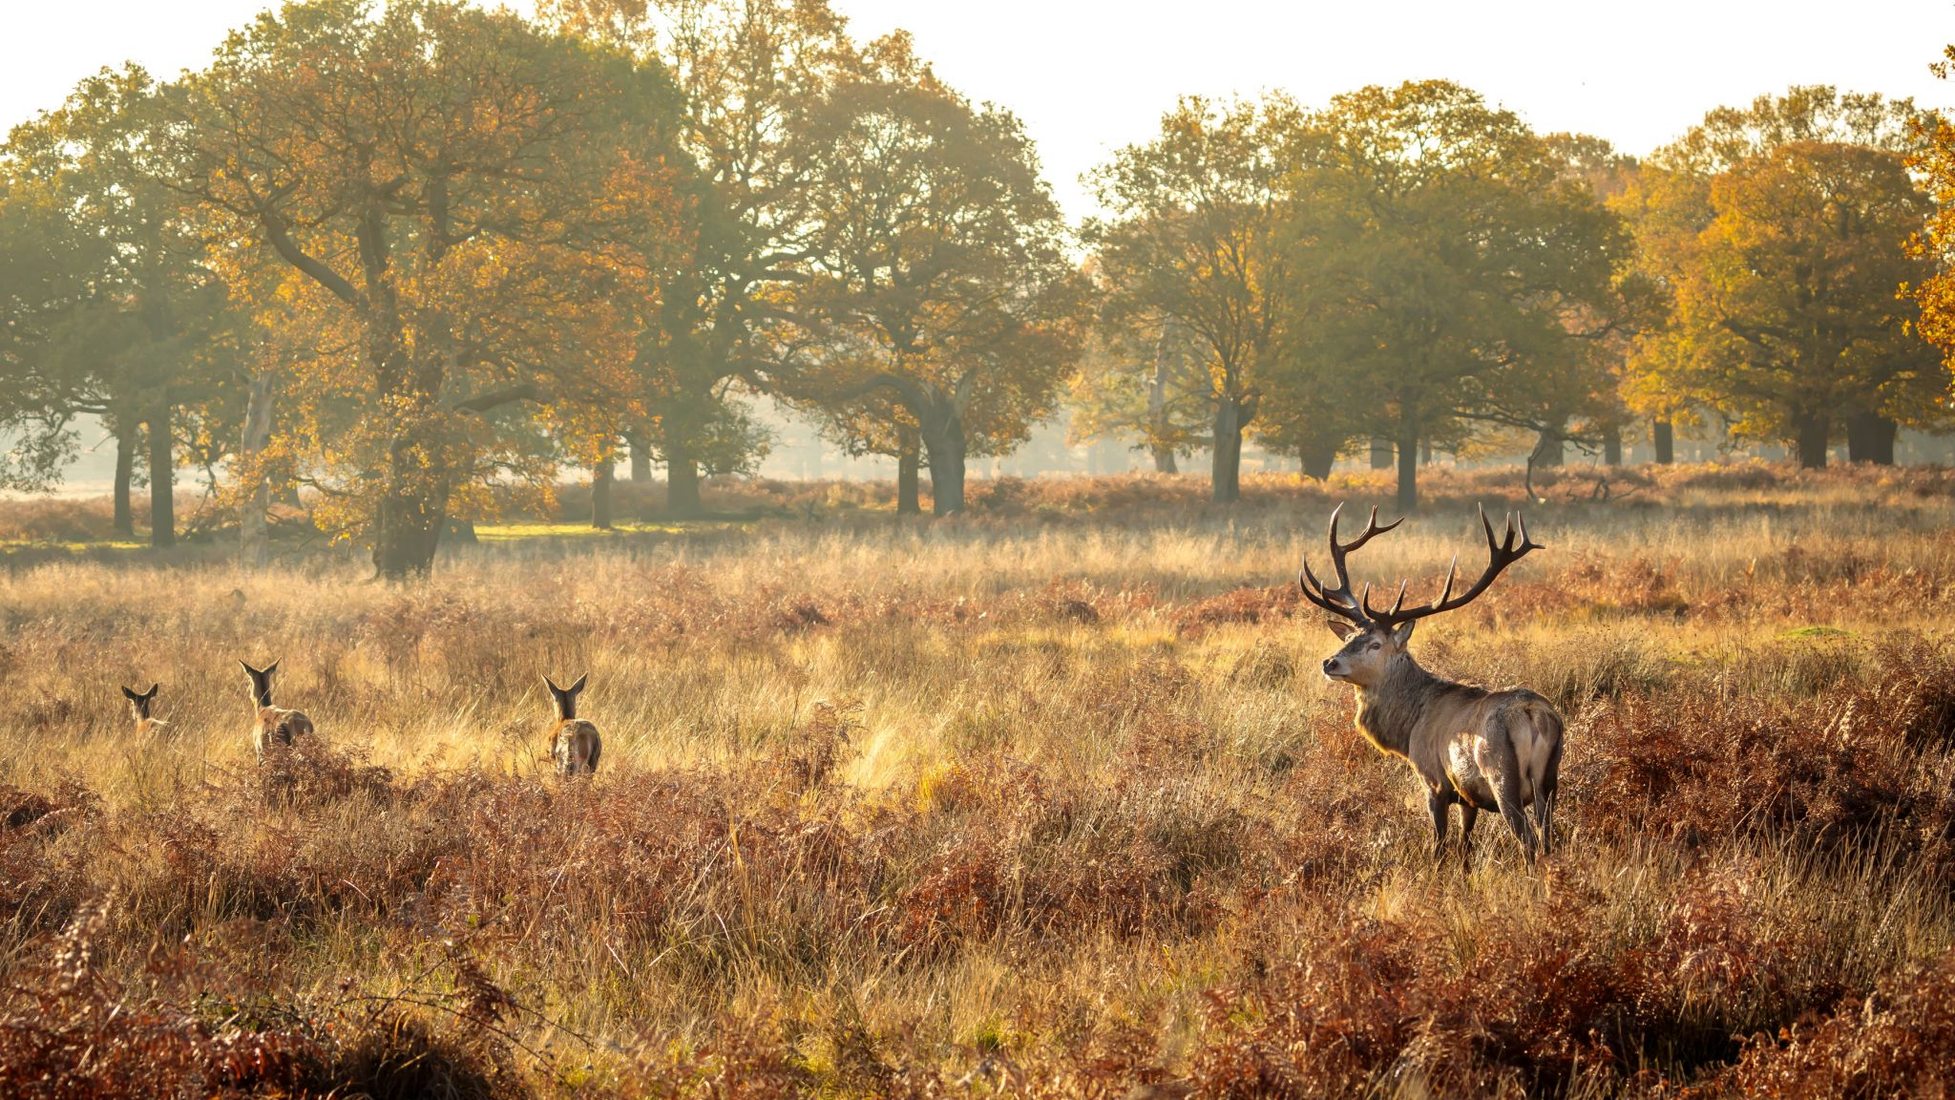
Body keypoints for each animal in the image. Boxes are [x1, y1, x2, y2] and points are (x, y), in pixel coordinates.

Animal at [1305, 500, 1564, 871]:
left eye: (1376, 645)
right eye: (1350, 637)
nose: (1330, 663)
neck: (1408, 728)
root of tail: (1535, 716)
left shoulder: (1434, 781)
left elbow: (1439, 844)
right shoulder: (1468, 796)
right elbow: (1465, 844)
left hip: (1502, 775)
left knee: (1527, 840)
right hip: (1551, 781)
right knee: (1549, 838)